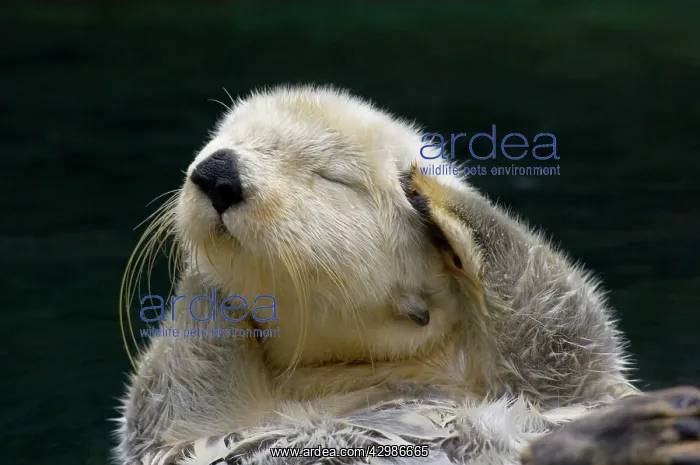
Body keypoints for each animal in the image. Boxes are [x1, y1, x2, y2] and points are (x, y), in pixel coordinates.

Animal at [115, 85, 700, 465]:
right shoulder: (180, 435)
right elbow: (173, 396)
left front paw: (433, 192)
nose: (216, 171)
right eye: (221, 139)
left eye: (331, 177)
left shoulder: (577, 381)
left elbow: (566, 329)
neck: (359, 369)